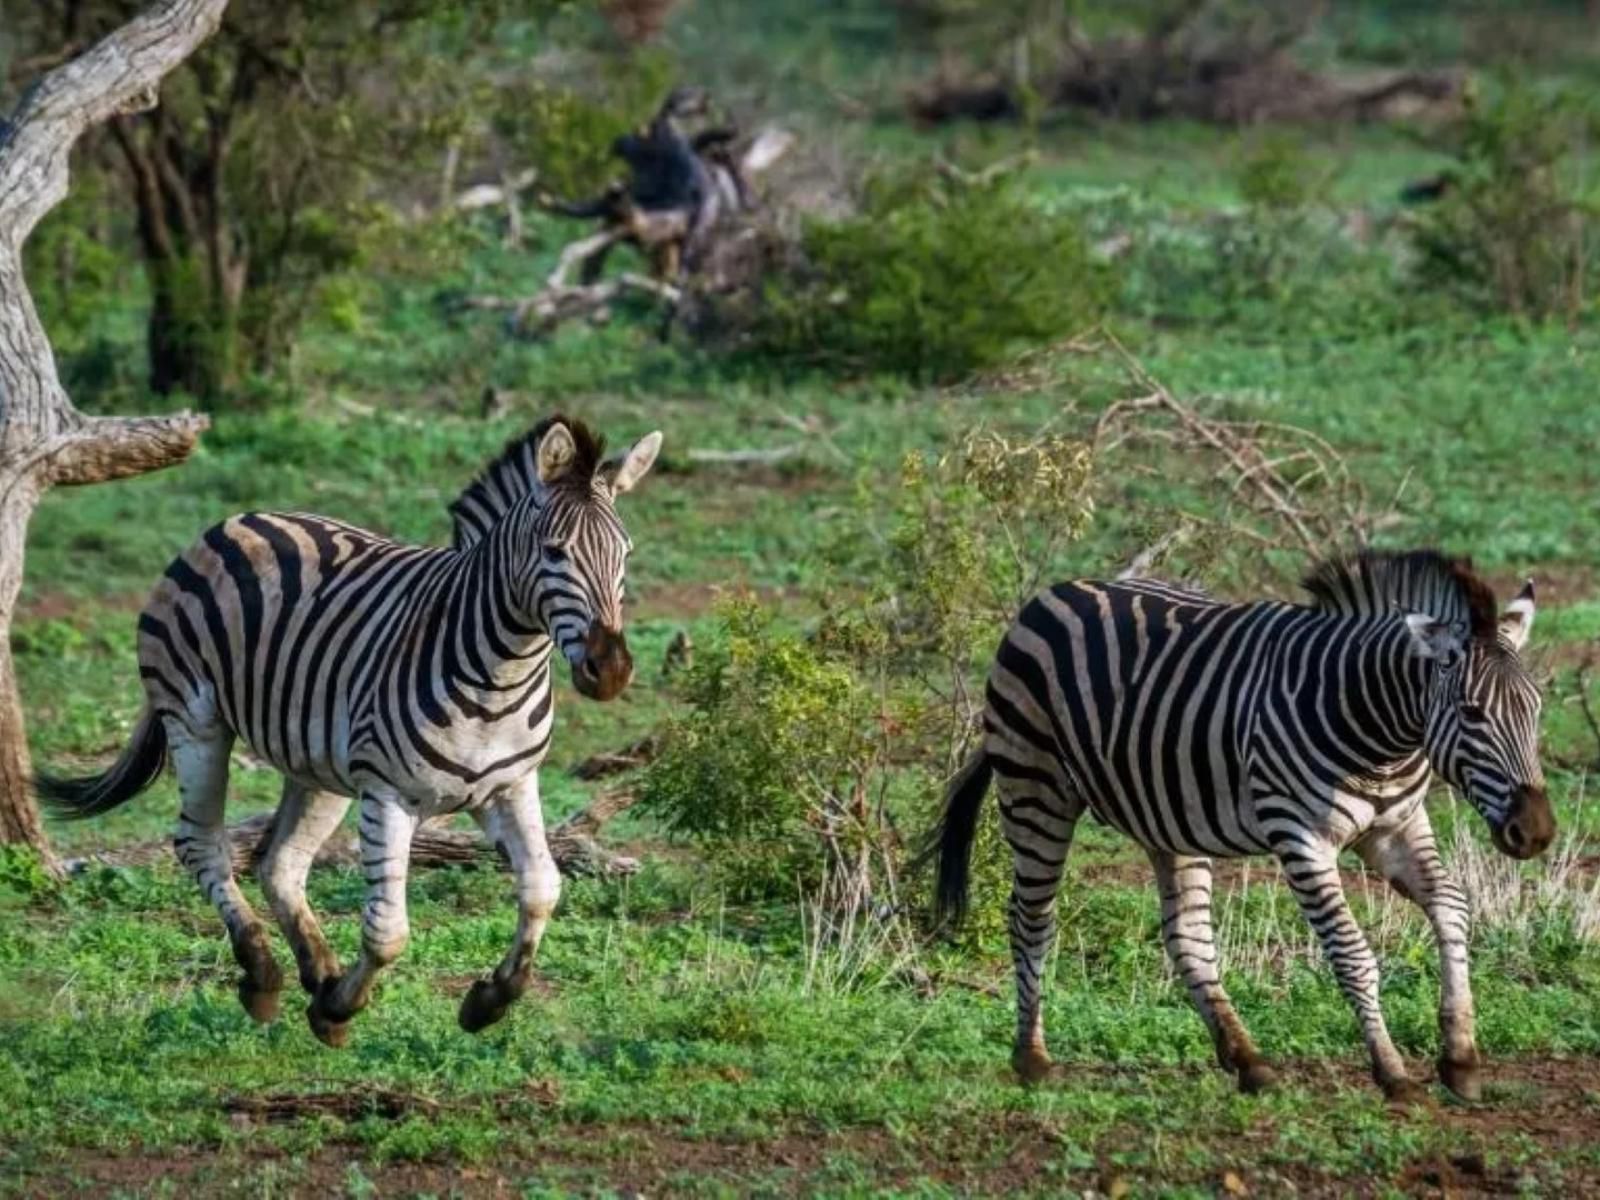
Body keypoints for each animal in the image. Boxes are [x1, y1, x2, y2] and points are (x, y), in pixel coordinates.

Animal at [40, 419, 662, 1049]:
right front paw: (341, 1009)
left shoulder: (511, 786)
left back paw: (318, 971)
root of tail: (238, 521)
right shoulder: (388, 794)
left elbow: (541, 889)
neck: (501, 676)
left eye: (627, 554)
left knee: (281, 863)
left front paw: (488, 1001)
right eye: (555, 552)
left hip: (315, 760)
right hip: (196, 721)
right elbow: (387, 931)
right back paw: (263, 974)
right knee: (201, 843)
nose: (611, 670)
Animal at [934, 550, 1555, 1107]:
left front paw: (1461, 1057)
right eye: (1472, 713)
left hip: (1167, 815)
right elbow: (1353, 954)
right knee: (1031, 918)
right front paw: (1393, 1073)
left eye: (1536, 709)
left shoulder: (1396, 827)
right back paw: (1032, 1058)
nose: (1537, 832)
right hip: (1036, 787)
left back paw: (1248, 1060)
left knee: (1186, 935)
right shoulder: (1301, 838)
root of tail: (1057, 591)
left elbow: (1452, 908)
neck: (1378, 732)